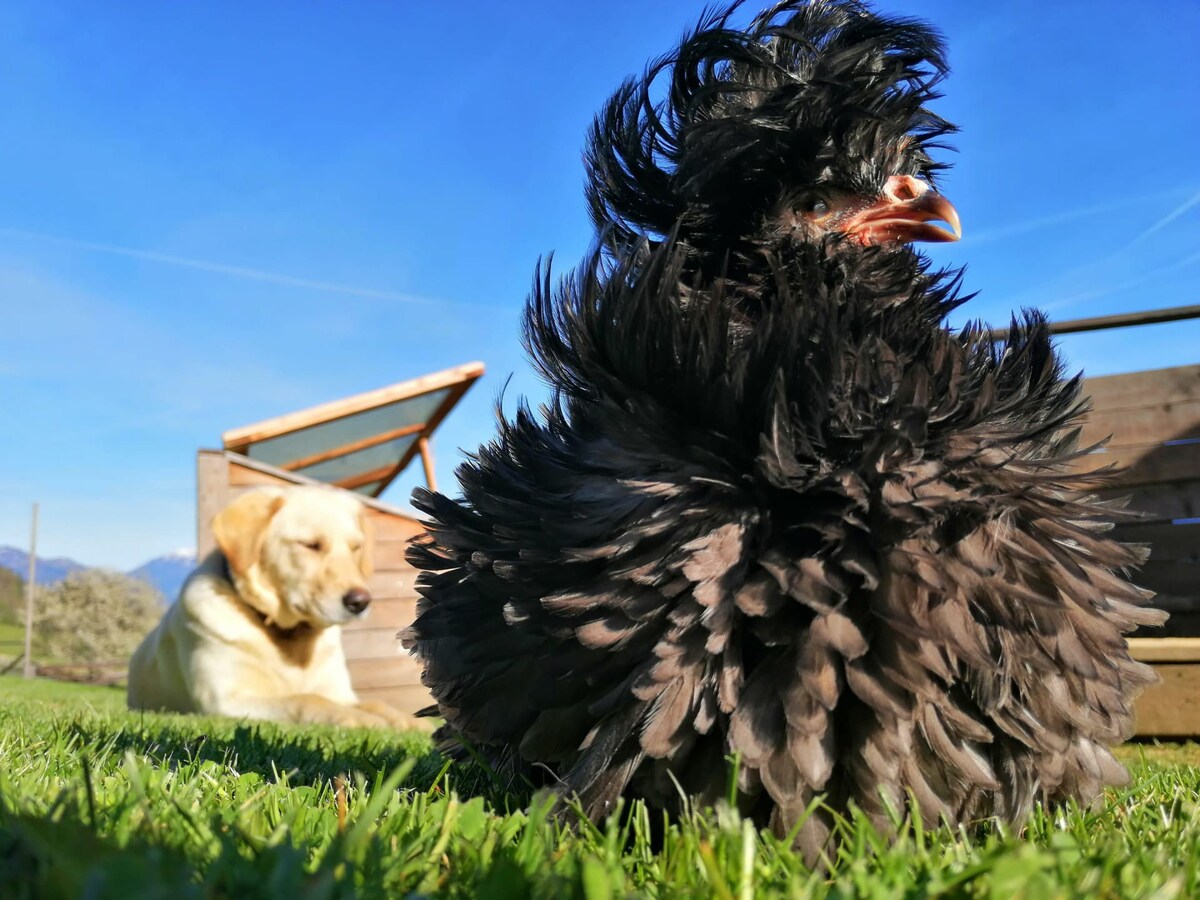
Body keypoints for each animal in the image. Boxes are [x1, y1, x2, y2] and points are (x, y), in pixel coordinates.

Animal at [128, 487, 415, 734]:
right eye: (310, 545)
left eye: (356, 548)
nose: (360, 602)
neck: (289, 638)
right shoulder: (225, 700)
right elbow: (305, 699)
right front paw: (361, 719)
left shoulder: (340, 693)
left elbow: (375, 703)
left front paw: (407, 721)